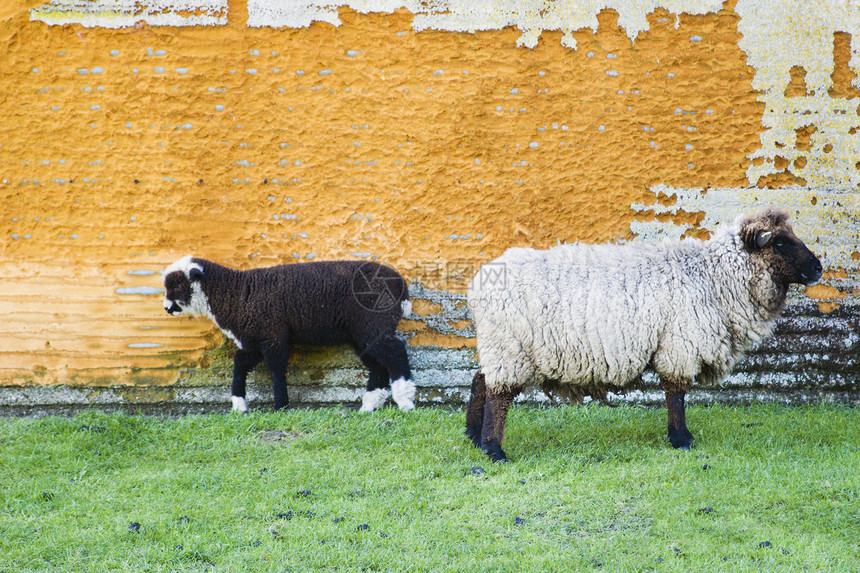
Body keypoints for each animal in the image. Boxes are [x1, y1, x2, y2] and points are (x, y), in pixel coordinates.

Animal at [466, 207, 824, 460]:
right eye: (779, 241)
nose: (818, 268)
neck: (712, 276)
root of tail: (478, 283)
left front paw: (681, 437)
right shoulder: (679, 343)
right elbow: (676, 393)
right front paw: (681, 439)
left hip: (499, 345)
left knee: (481, 380)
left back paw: (473, 436)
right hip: (509, 347)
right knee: (498, 394)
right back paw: (494, 450)